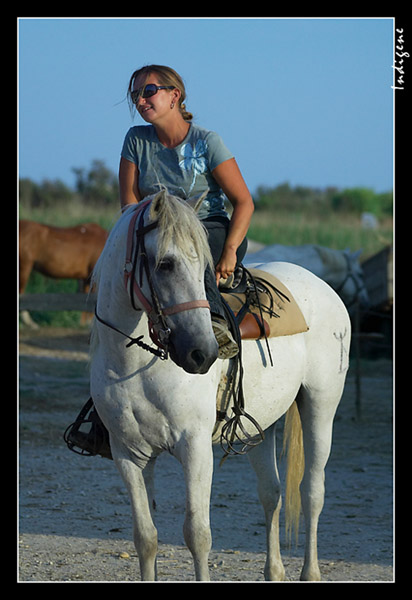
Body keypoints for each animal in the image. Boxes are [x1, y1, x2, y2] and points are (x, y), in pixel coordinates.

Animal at [89, 189, 350, 580]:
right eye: (165, 264)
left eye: (205, 270)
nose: (203, 353)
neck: (135, 365)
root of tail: (321, 286)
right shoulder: (129, 453)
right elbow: (145, 537)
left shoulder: (195, 447)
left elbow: (197, 535)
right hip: (262, 424)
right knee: (271, 493)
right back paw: (274, 571)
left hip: (320, 406)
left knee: (311, 492)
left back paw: (310, 572)